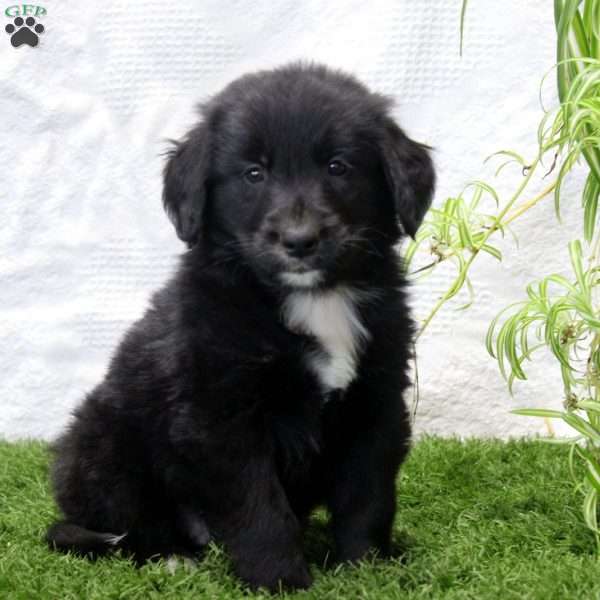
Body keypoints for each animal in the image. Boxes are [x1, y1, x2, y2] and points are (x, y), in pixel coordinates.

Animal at [45, 62, 432, 592]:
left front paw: (367, 569)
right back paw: (172, 558)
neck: (314, 299)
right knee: (122, 528)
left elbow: (366, 497)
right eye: (253, 173)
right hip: (99, 443)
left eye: (338, 167)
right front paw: (280, 582)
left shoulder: (375, 402)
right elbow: (259, 509)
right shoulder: (220, 417)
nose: (300, 241)